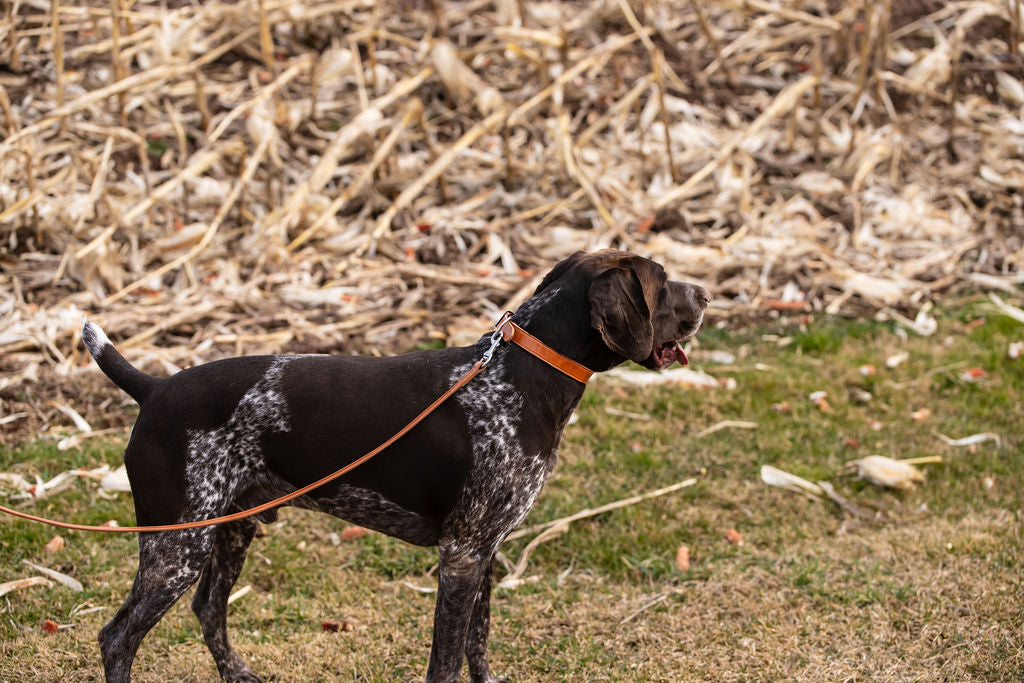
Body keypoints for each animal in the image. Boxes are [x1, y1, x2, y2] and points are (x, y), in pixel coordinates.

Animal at [81, 248, 712, 679]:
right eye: (660, 284)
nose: (706, 294)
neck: (522, 376)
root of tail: (154, 390)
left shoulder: (485, 552)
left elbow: (477, 649)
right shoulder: (462, 556)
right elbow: (447, 662)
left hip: (230, 529)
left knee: (209, 609)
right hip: (176, 547)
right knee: (118, 637)